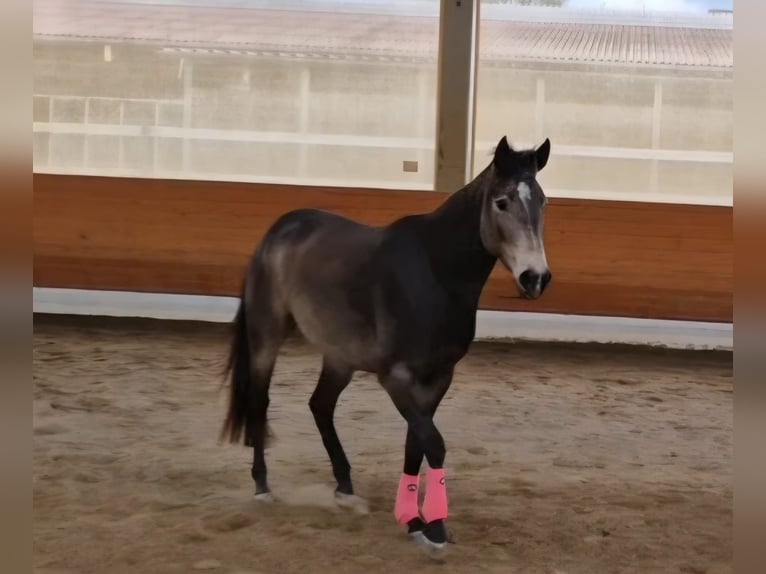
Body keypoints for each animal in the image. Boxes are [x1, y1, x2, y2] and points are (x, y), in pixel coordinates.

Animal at [220, 135, 553, 559]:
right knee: (260, 402)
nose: (535, 278)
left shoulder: (438, 378)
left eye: (542, 201)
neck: (435, 273)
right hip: (267, 336)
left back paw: (345, 488)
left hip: (340, 357)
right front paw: (432, 528)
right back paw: (262, 487)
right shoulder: (395, 377)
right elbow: (434, 443)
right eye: (502, 201)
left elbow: (416, 443)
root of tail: (277, 231)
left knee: (320, 405)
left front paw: (417, 522)